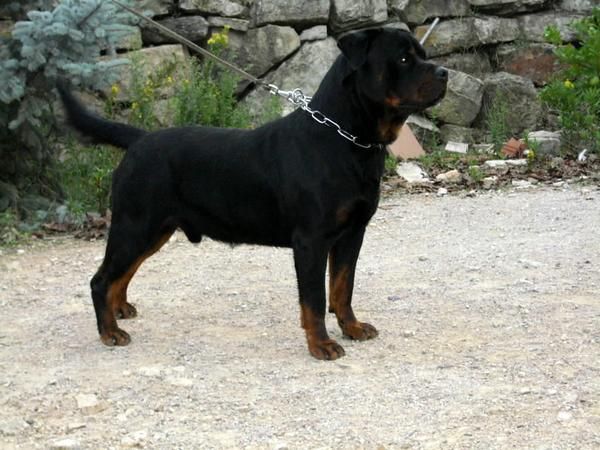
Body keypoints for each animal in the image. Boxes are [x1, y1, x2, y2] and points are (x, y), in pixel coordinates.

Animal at [59, 27, 446, 358]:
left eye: (423, 55)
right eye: (403, 59)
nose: (444, 72)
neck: (347, 139)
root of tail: (139, 139)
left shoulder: (352, 234)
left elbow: (342, 287)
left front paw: (351, 327)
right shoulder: (311, 240)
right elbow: (315, 300)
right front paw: (320, 344)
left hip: (154, 230)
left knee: (123, 272)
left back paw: (120, 309)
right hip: (136, 224)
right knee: (100, 279)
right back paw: (109, 331)